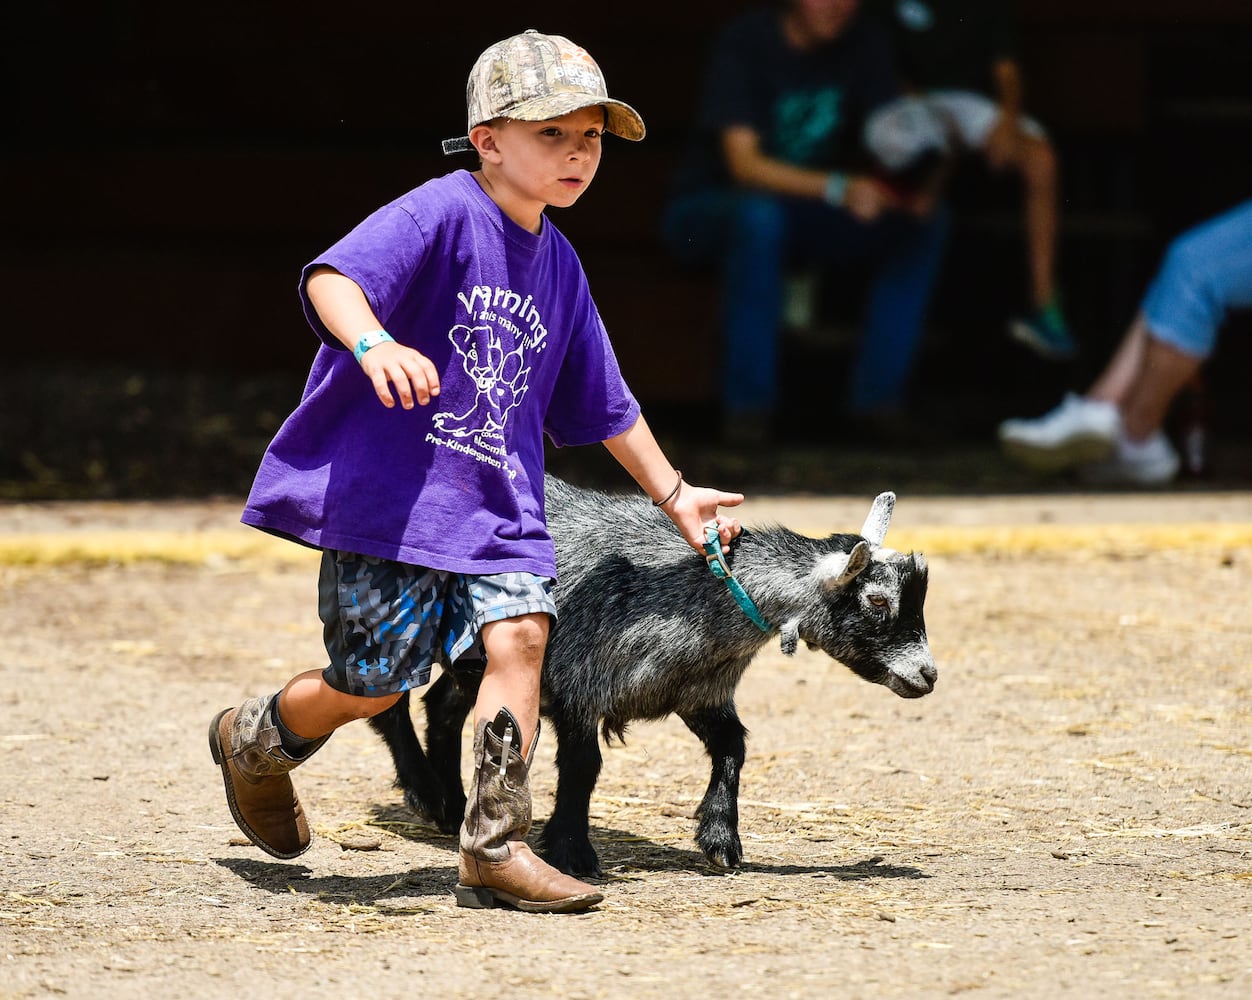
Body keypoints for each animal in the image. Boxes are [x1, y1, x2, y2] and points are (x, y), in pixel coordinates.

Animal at [365, 475, 936, 876]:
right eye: (877, 601)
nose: (928, 675)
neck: (695, 598)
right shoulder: (578, 684)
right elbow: (584, 766)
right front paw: (572, 851)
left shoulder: (697, 692)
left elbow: (733, 746)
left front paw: (720, 839)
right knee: (387, 700)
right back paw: (426, 792)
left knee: (443, 705)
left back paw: (451, 805)